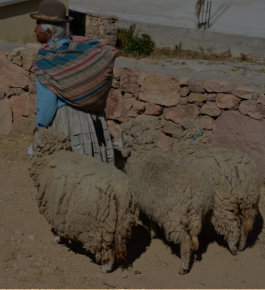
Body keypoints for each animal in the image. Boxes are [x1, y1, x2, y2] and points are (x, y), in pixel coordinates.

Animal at [28, 128, 137, 274]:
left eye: (35, 144)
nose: (27, 150)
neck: (53, 157)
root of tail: (121, 191)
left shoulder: (57, 208)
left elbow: (59, 228)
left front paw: (58, 238)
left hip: (99, 225)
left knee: (106, 250)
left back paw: (105, 267)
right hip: (121, 224)